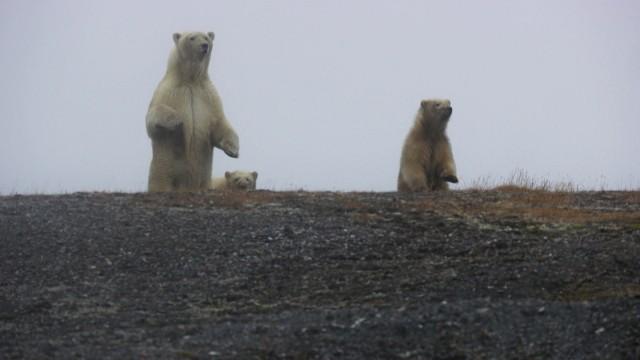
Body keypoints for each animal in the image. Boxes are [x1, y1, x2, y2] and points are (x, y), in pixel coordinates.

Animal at [145, 31, 240, 191]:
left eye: (206, 37)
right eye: (192, 37)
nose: (204, 45)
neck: (191, 80)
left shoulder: (208, 95)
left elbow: (219, 123)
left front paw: (233, 149)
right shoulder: (169, 91)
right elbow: (152, 120)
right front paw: (176, 120)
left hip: (205, 178)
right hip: (163, 167)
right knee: (161, 180)